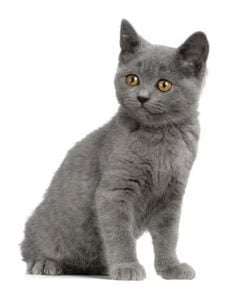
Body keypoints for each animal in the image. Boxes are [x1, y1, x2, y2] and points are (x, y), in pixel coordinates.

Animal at [20, 19, 208, 280]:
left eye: (164, 84)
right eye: (132, 79)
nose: (142, 97)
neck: (160, 138)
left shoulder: (172, 195)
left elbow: (168, 237)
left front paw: (172, 267)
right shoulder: (114, 191)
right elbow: (119, 234)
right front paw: (127, 266)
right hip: (42, 225)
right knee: (29, 247)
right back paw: (44, 263)